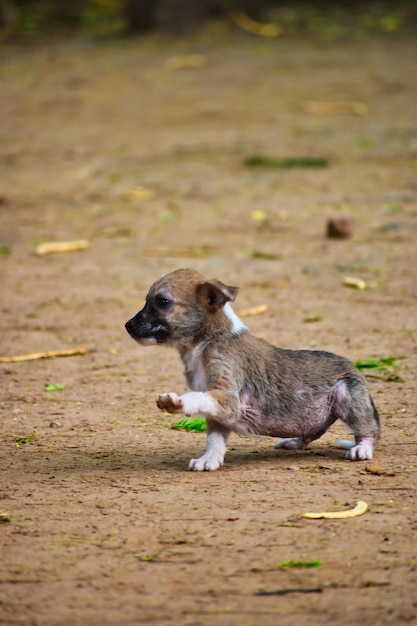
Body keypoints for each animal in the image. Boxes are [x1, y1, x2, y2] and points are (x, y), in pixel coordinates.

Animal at [126, 266, 380, 468]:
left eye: (163, 302)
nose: (127, 325)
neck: (207, 341)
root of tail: (353, 367)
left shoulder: (226, 397)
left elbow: (195, 398)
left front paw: (176, 402)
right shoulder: (218, 410)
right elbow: (214, 439)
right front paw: (210, 459)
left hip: (345, 396)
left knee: (369, 431)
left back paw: (362, 448)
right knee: (313, 433)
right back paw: (294, 441)